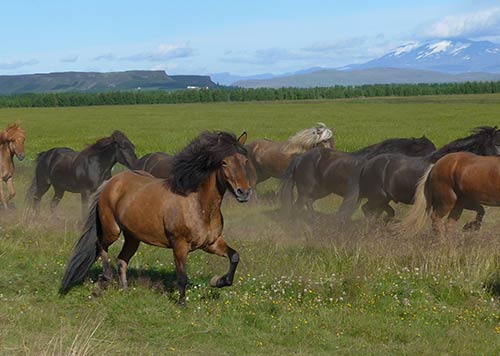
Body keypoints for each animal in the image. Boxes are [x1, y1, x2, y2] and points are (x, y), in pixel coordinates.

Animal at [61, 131, 252, 306]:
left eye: (245, 161)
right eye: (224, 162)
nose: (244, 192)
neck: (199, 205)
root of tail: (111, 182)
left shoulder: (211, 243)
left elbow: (234, 256)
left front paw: (217, 281)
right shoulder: (180, 245)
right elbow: (182, 276)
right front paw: (182, 304)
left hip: (133, 237)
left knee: (122, 260)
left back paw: (125, 291)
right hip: (112, 230)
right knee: (101, 246)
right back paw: (105, 279)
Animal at [280, 135, 436, 217]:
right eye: (429, 152)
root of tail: (300, 158)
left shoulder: (381, 199)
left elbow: (387, 212)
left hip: (321, 191)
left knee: (309, 202)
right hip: (306, 190)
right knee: (299, 204)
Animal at [358, 126, 500, 229]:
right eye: (496, 144)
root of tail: (367, 165)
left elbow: (481, 211)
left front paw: (470, 227)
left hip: (385, 199)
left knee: (379, 211)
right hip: (379, 197)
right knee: (368, 209)